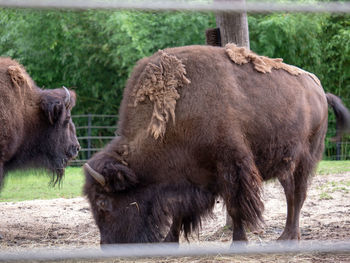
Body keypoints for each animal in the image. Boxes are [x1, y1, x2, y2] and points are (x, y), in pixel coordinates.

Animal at [84, 44, 350, 244]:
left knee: (298, 194)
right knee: (291, 194)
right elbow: (180, 211)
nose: (107, 245)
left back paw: (289, 237)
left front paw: (238, 242)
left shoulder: (231, 167)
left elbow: (235, 207)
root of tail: (319, 90)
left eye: (102, 202)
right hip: (285, 164)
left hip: (305, 159)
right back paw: (286, 235)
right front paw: (170, 241)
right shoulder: (189, 178)